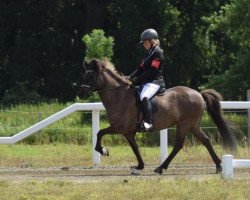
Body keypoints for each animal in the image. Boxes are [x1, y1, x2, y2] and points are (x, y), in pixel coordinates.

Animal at [77, 58, 236, 174]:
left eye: (90, 76)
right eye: (84, 75)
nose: (81, 93)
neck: (119, 95)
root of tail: (199, 94)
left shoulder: (119, 127)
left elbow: (99, 133)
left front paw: (103, 151)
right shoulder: (128, 132)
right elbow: (135, 147)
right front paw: (139, 166)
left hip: (184, 124)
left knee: (179, 145)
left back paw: (160, 168)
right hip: (193, 125)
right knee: (206, 141)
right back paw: (218, 166)